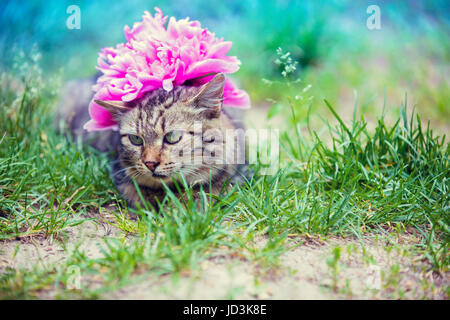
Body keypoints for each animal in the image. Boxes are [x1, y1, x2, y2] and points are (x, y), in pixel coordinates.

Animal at [58, 73, 248, 209]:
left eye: (172, 137)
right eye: (135, 139)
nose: (150, 163)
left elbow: (205, 192)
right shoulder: (120, 173)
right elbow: (139, 193)